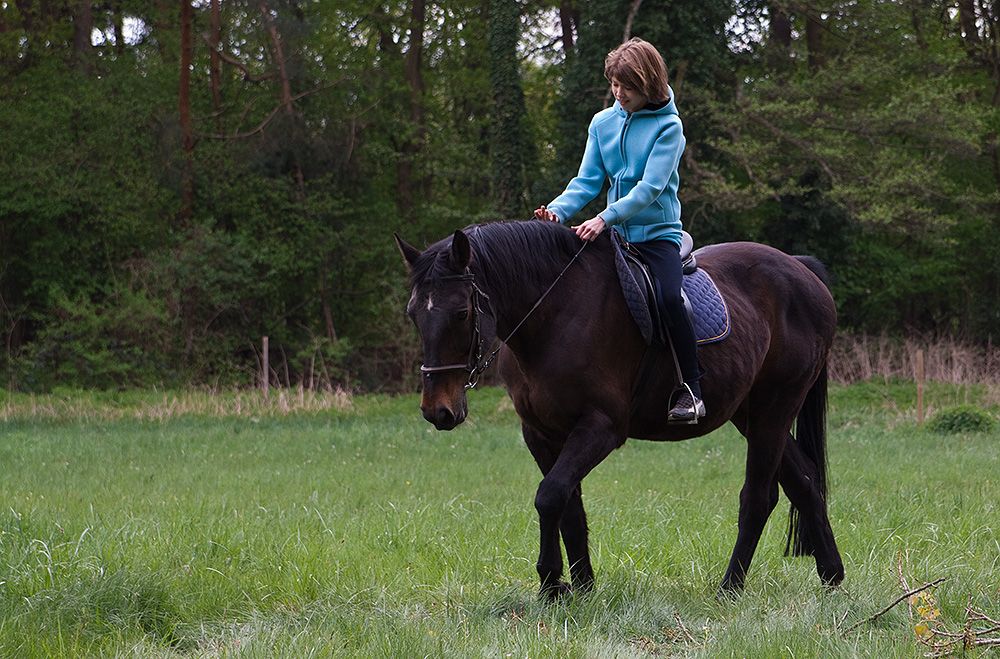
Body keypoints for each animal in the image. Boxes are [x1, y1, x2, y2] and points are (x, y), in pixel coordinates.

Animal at [396, 220, 844, 600]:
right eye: (413, 313)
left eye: (461, 313)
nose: (438, 411)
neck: (555, 315)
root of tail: (801, 271)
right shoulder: (542, 433)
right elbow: (568, 506)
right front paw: (580, 588)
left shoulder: (601, 427)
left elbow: (549, 496)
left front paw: (551, 582)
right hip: (751, 413)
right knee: (805, 481)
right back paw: (832, 577)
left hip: (775, 407)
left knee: (758, 497)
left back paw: (730, 588)